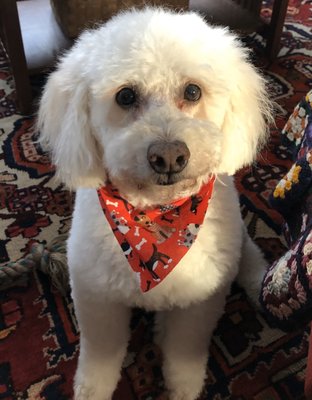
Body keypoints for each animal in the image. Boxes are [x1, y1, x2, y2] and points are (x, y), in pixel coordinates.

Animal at [37, 7, 272, 400]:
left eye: (192, 91)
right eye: (126, 96)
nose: (169, 156)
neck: (156, 220)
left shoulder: (200, 302)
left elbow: (184, 355)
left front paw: (183, 389)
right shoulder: (97, 298)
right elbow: (101, 356)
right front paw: (91, 390)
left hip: (238, 242)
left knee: (250, 255)